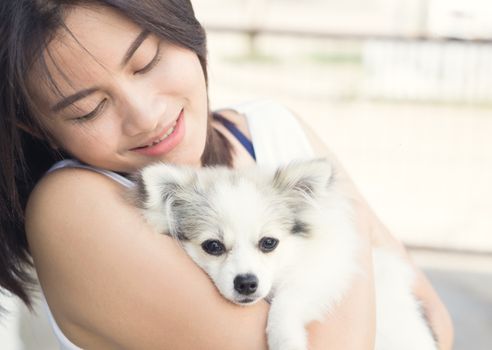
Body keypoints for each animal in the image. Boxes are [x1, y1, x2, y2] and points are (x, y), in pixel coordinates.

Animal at [132, 159, 438, 350]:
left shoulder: (324, 273)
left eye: (269, 243)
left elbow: (287, 303)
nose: (246, 283)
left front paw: (286, 340)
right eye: (213, 246)